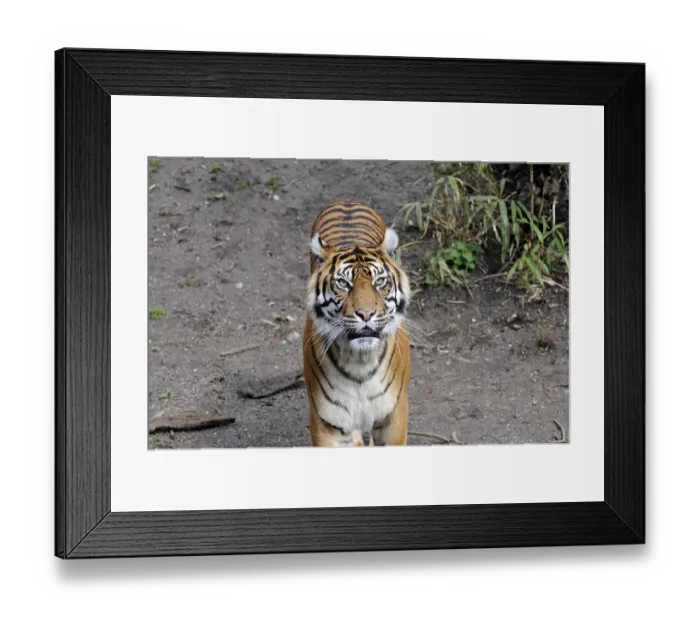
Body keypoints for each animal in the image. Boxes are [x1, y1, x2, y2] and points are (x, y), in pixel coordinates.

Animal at [302, 201, 412, 447]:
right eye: (343, 283)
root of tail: (347, 203)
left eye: (379, 281)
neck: (360, 362)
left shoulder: (392, 419)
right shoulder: (330, 425)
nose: (366, 313)